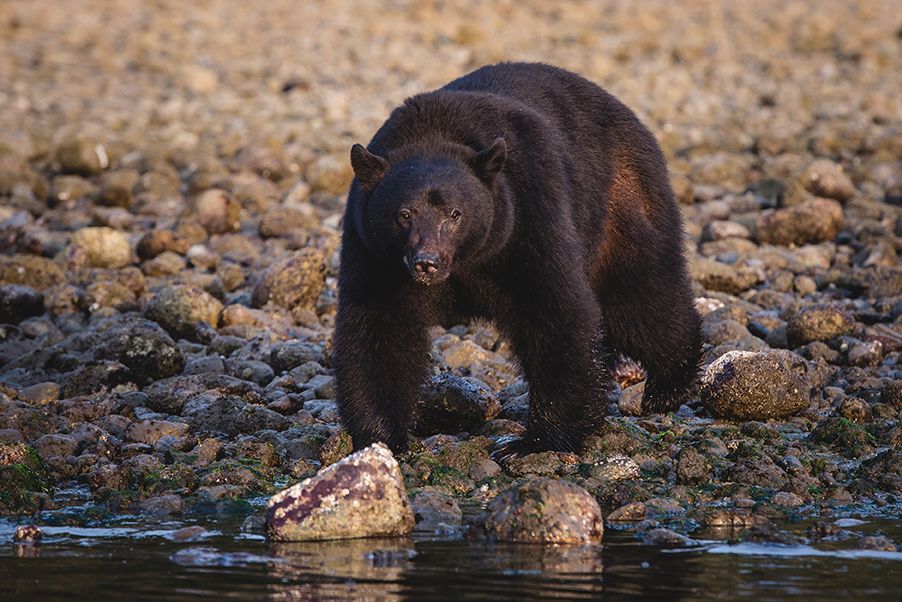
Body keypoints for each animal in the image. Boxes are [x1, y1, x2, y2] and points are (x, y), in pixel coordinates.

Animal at [333, 62, 702, 456]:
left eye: (455, 213)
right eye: (404, 214)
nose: (426, 262)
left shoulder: (527, 217)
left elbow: (556, 311)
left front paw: (536, 441)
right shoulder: (374, 253)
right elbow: (379, 328)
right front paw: (381, 437)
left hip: (619, 203)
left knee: (640, 299)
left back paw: (669, 386)